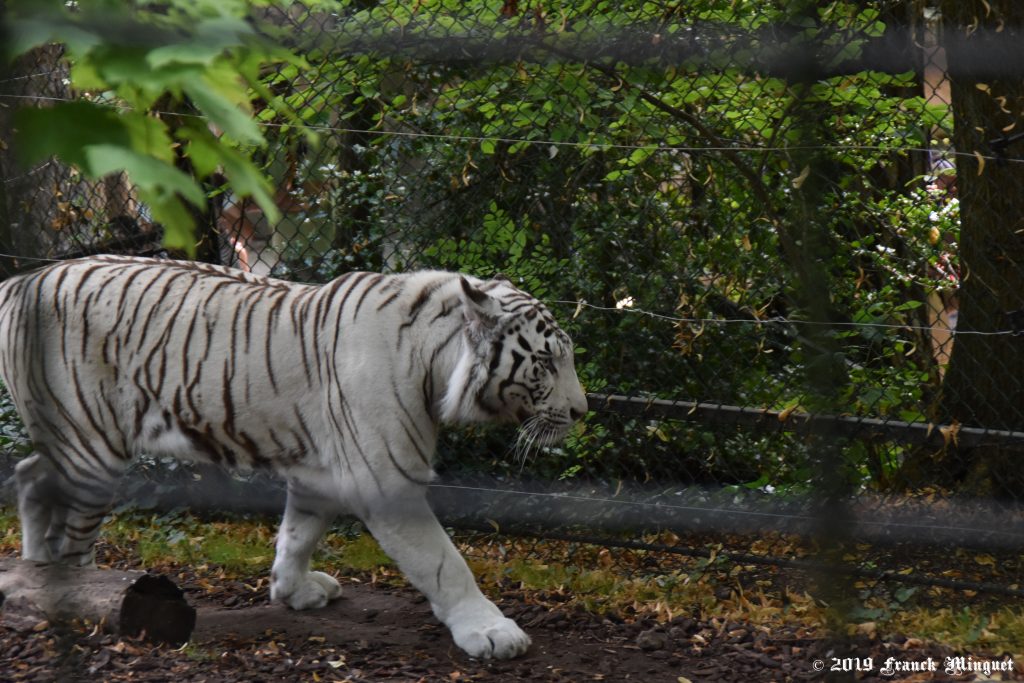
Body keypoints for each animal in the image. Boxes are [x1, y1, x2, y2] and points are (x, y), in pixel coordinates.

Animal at [0, 255, 588, 660]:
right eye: (546, 362)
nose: (582, 411)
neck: (435, 363)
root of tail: (20, 281)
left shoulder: (318, 474)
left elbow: (297, 535)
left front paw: (293, 590)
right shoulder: (384, 478)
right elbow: (444, 563)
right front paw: (491, 631)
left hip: (70, 439)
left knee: (28, 475)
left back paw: (33, 569)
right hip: (91, 445)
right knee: (70, 533)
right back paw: (83, 591)